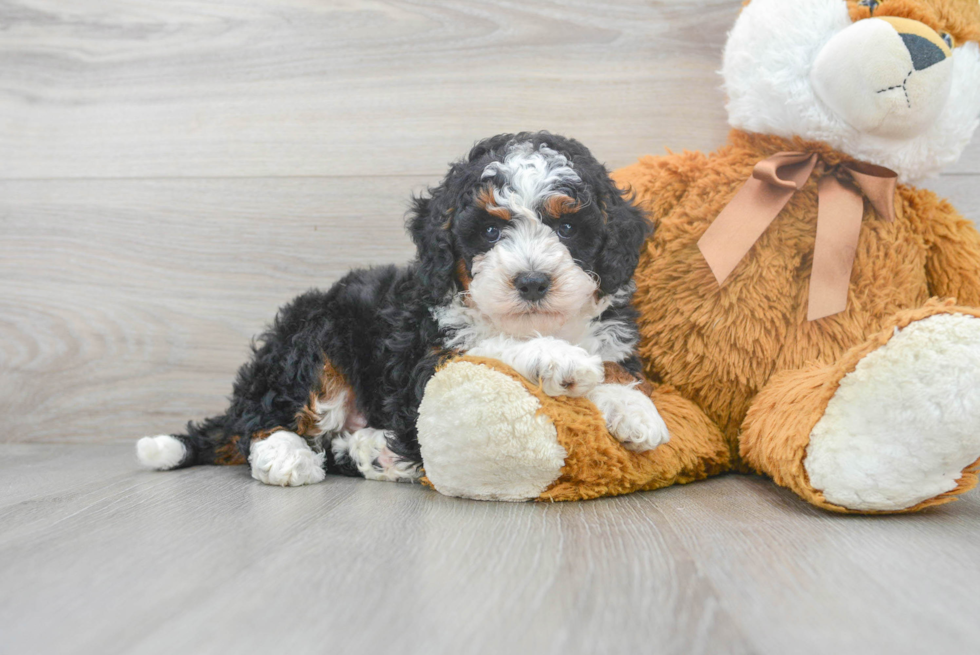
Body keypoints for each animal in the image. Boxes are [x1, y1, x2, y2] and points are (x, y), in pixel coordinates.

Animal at [138, 132, 668, 486]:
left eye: (568, 229)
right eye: (490, 232)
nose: (533, 281)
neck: (542, 321)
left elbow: (616, 371)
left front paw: (635, 411)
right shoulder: (426, 361)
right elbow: (493, 347)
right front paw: (556, 358)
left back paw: (373, 452)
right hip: (315, 334)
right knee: (265, 415)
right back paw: (288, 457)